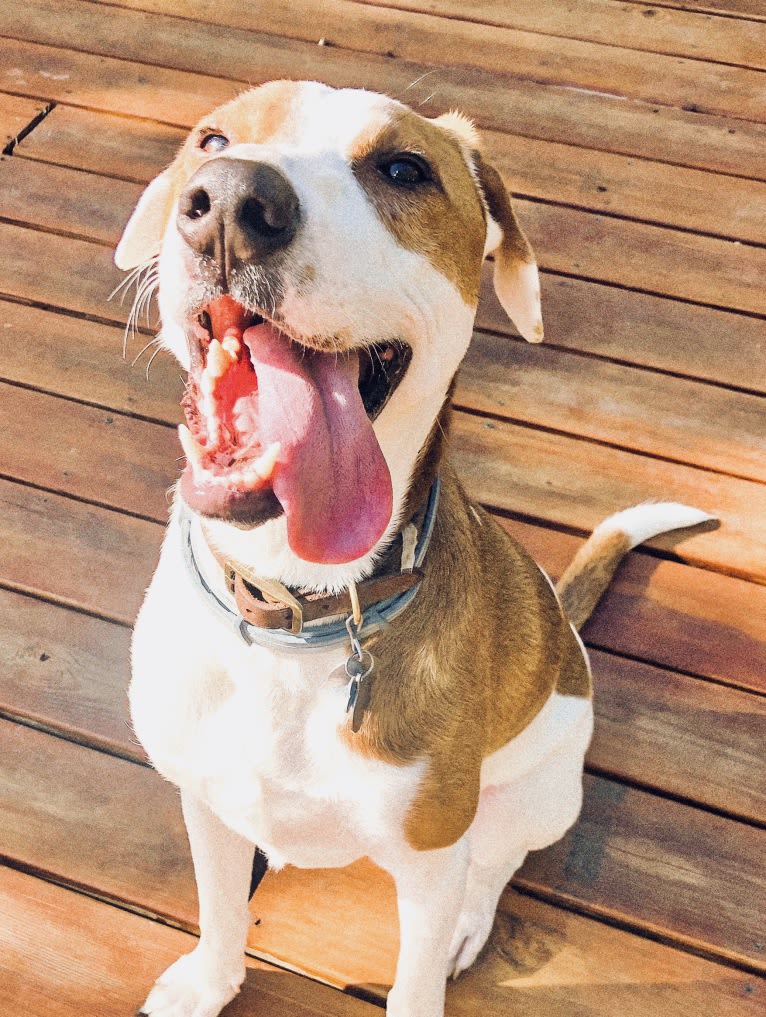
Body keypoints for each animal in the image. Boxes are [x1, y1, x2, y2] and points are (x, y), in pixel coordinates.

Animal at [114, 81, 712, 1016]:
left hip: (538, 793)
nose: (231, 204)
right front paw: (207, 982)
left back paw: (473, 917)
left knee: (497, 858)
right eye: (211, 140)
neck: (296, 612)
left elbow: (418, 974)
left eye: (403, 169)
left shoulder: (431, 854)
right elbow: (216, 908)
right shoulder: (203, 794)